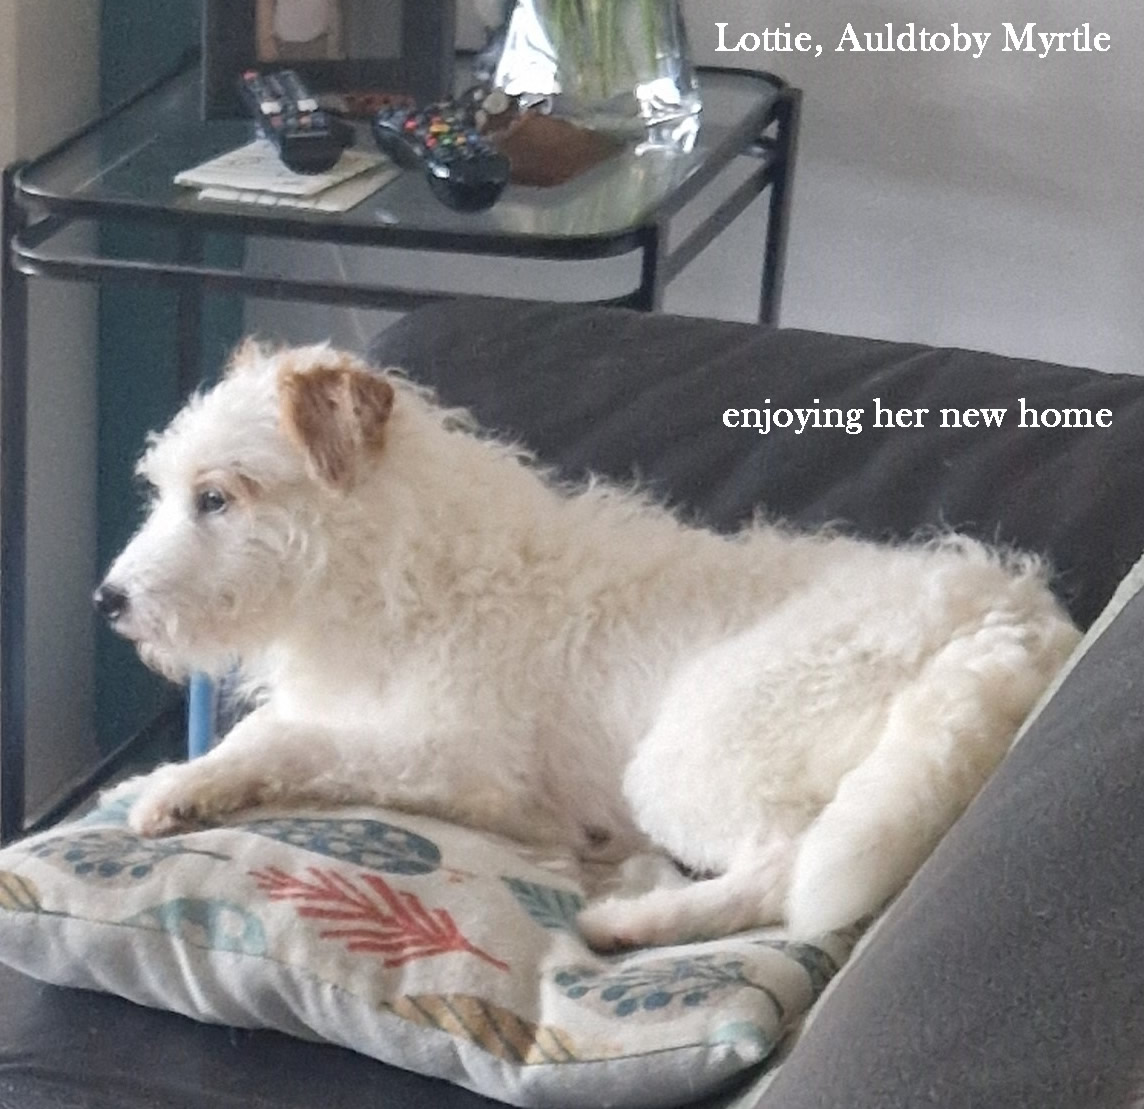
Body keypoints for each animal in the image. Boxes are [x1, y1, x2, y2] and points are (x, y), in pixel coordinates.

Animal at [93, 341, 1075, 947]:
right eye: (164, 490)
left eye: (216, 498)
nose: (108, 602)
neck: (390, 561)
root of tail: (1008, 609)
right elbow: (279, 734)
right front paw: (179, 784)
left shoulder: (456, 760)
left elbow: (279, 736)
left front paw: (175, 786)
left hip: (690, 756)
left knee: (784, 867)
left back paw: (633, 923)